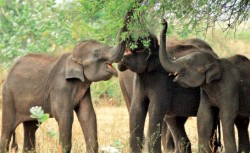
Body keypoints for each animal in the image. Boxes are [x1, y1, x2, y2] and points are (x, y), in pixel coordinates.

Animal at [158, 20, 250, 152]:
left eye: (189, 63)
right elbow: (204, 117)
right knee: (242, 122)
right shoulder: (205, 91)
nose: (164, 21)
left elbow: (226, 116)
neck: (216, 61)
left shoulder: (230, 87)